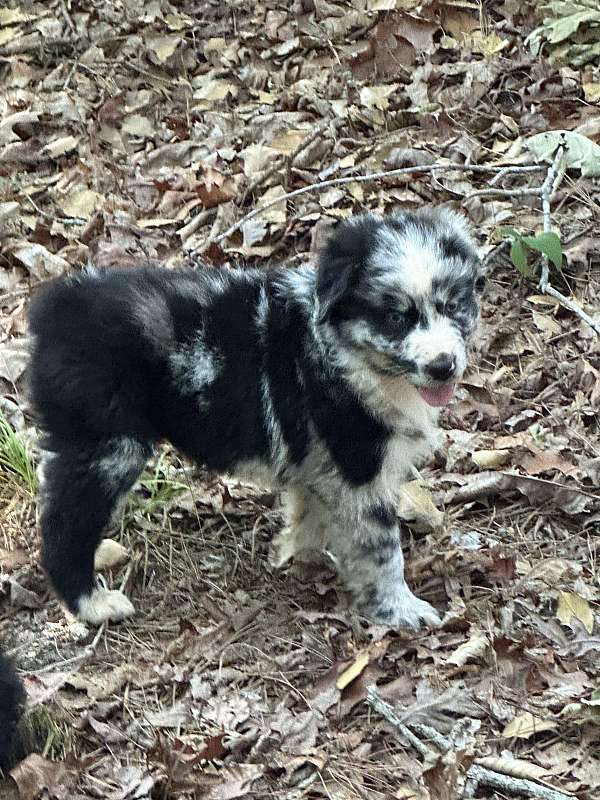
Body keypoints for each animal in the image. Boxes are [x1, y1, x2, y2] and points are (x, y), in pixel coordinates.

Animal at [29, 208, 482, 632]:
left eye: (452, 305)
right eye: (395, 317)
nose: (443, 366)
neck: (350, 354)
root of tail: (54, 311)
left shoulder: (320, 464)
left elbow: (309, 512)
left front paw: (298, 556)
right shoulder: (358, 468)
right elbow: (381, 547)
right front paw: (400, 608)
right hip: (109, 446)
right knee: (63, 527)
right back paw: (92, 604)